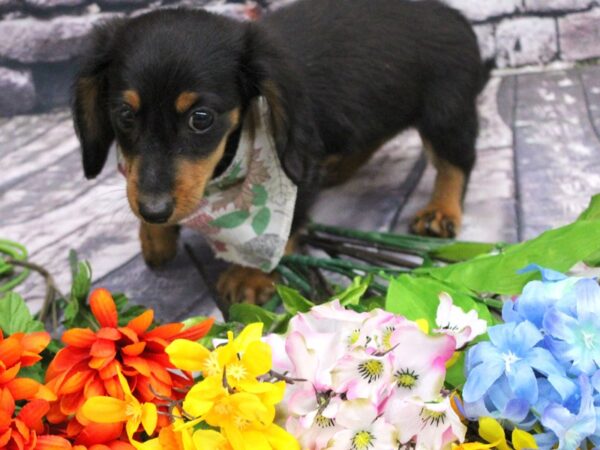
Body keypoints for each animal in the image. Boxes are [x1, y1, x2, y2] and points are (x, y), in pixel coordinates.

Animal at [72, 0, 490, 304]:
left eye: (201, 118)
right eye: (124, 114)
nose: (154, 211)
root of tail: (456, 16)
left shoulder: (297, 166)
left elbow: (290, 222)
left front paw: (251, 274)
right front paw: (155, 235)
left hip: (445, 114)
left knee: (457, 164)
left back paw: (440, 211)